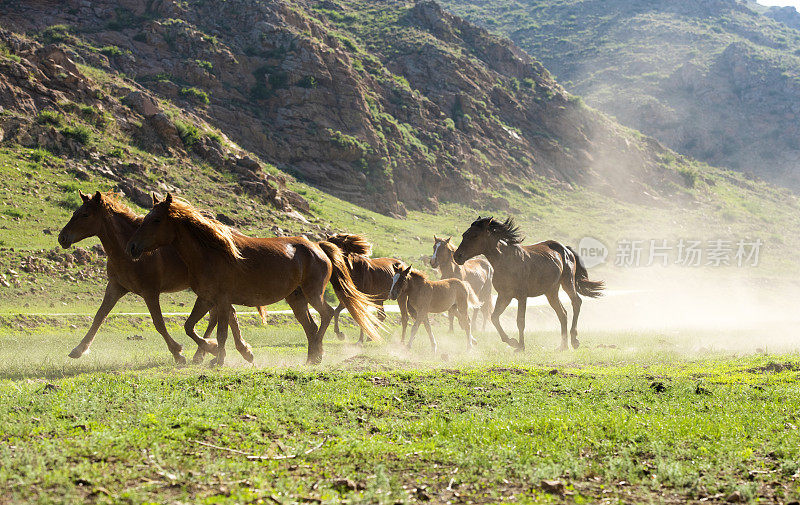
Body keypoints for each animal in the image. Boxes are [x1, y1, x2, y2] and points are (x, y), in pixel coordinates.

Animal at [56, 190, 262, 362]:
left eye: (85, 214)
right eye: (75, 212)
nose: (62, 238)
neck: (128, 253)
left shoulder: (150, 292)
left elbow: (159, 323)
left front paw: (178, 353)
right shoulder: (116, 287)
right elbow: (99, 316)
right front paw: (78, 350)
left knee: (223, 314)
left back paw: (212, 352)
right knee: (226, 314)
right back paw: (229, 351)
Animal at [127, 192, 382, 362]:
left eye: (156, 220)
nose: (132, 247)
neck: (211, 252)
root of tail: (317, 247)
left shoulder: (221, 300)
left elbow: (221, 332)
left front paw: (217, 358)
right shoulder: (206, 299)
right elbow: (190, 327)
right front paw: (218, 353)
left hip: (312, 293)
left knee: (326, 315)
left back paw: (317, 353)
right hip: (296, 298)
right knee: (310, 326)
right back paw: (312, 358)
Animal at [454, 217, 604, 350]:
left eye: (474, 235)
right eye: (464, 234)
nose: (457, 256)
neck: (506, 260)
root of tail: (566, 250)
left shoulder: (521, 297)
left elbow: (520, 321)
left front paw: (520, 346)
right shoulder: (504, 296)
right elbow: (494, 317)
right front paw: (512, 342)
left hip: (567, 282)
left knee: (576, 302)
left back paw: (574, 340)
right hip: (551, 292)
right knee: (562, 313)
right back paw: (563, 346)